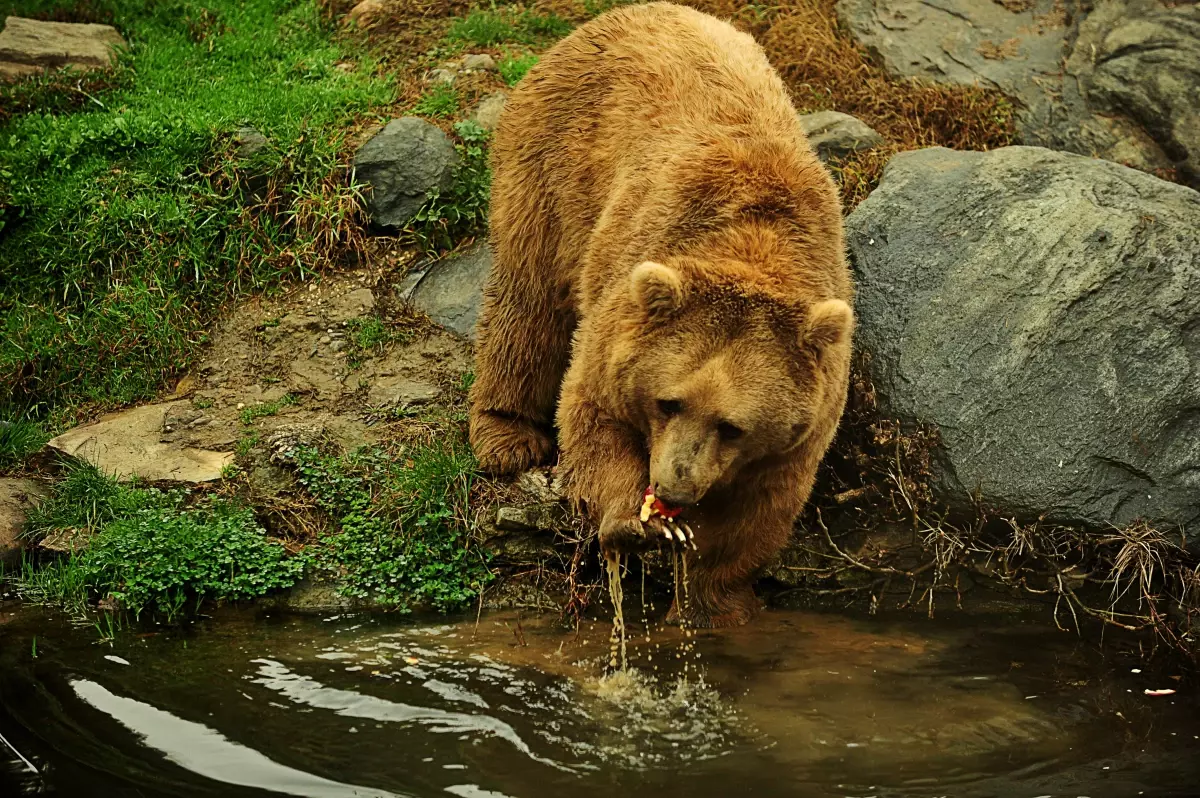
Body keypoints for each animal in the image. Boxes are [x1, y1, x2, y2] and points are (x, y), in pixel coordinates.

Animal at [468, 0, 854, 624]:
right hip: (554, 160)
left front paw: (712, 603)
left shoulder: (801, 427)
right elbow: (592, 413)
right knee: (529, 295)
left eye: (732, 425)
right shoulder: (625, 305)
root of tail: (632, 11)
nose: (674, 487)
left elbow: (759, 512)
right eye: (669, 401)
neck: (755, 244)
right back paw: (508, 437)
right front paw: (632, 524)